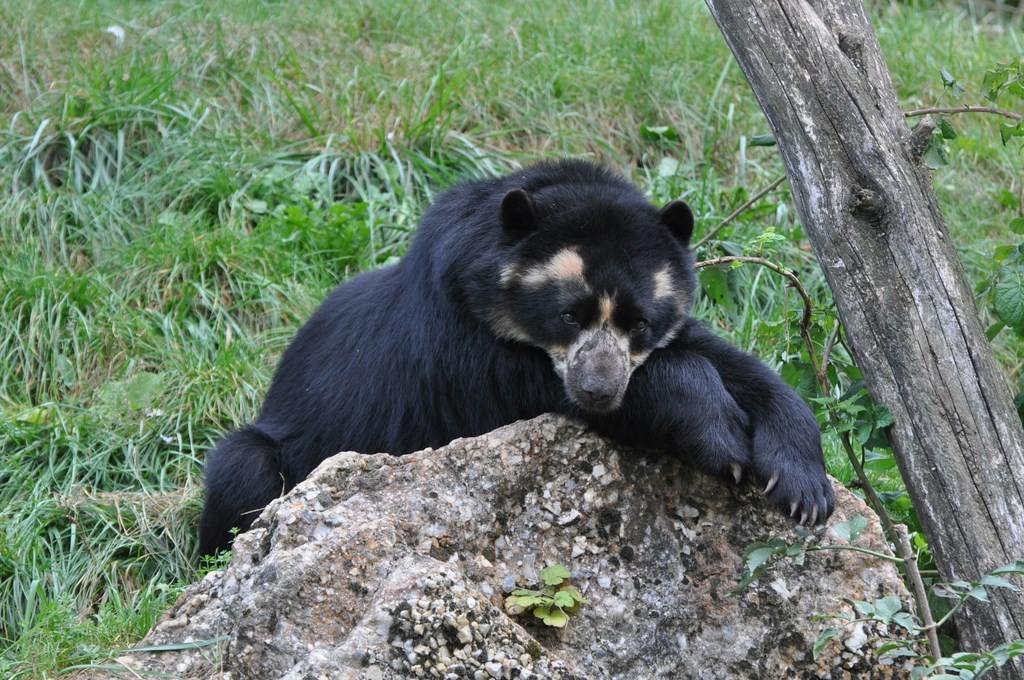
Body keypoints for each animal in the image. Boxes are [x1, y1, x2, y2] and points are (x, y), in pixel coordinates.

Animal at [198, 159, 834, 556]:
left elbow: (727, 360)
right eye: (569, 314)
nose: (599, 390)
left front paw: (803, 487)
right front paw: (724, 440)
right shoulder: (465, 352)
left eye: (640, 322)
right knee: (242, 471)